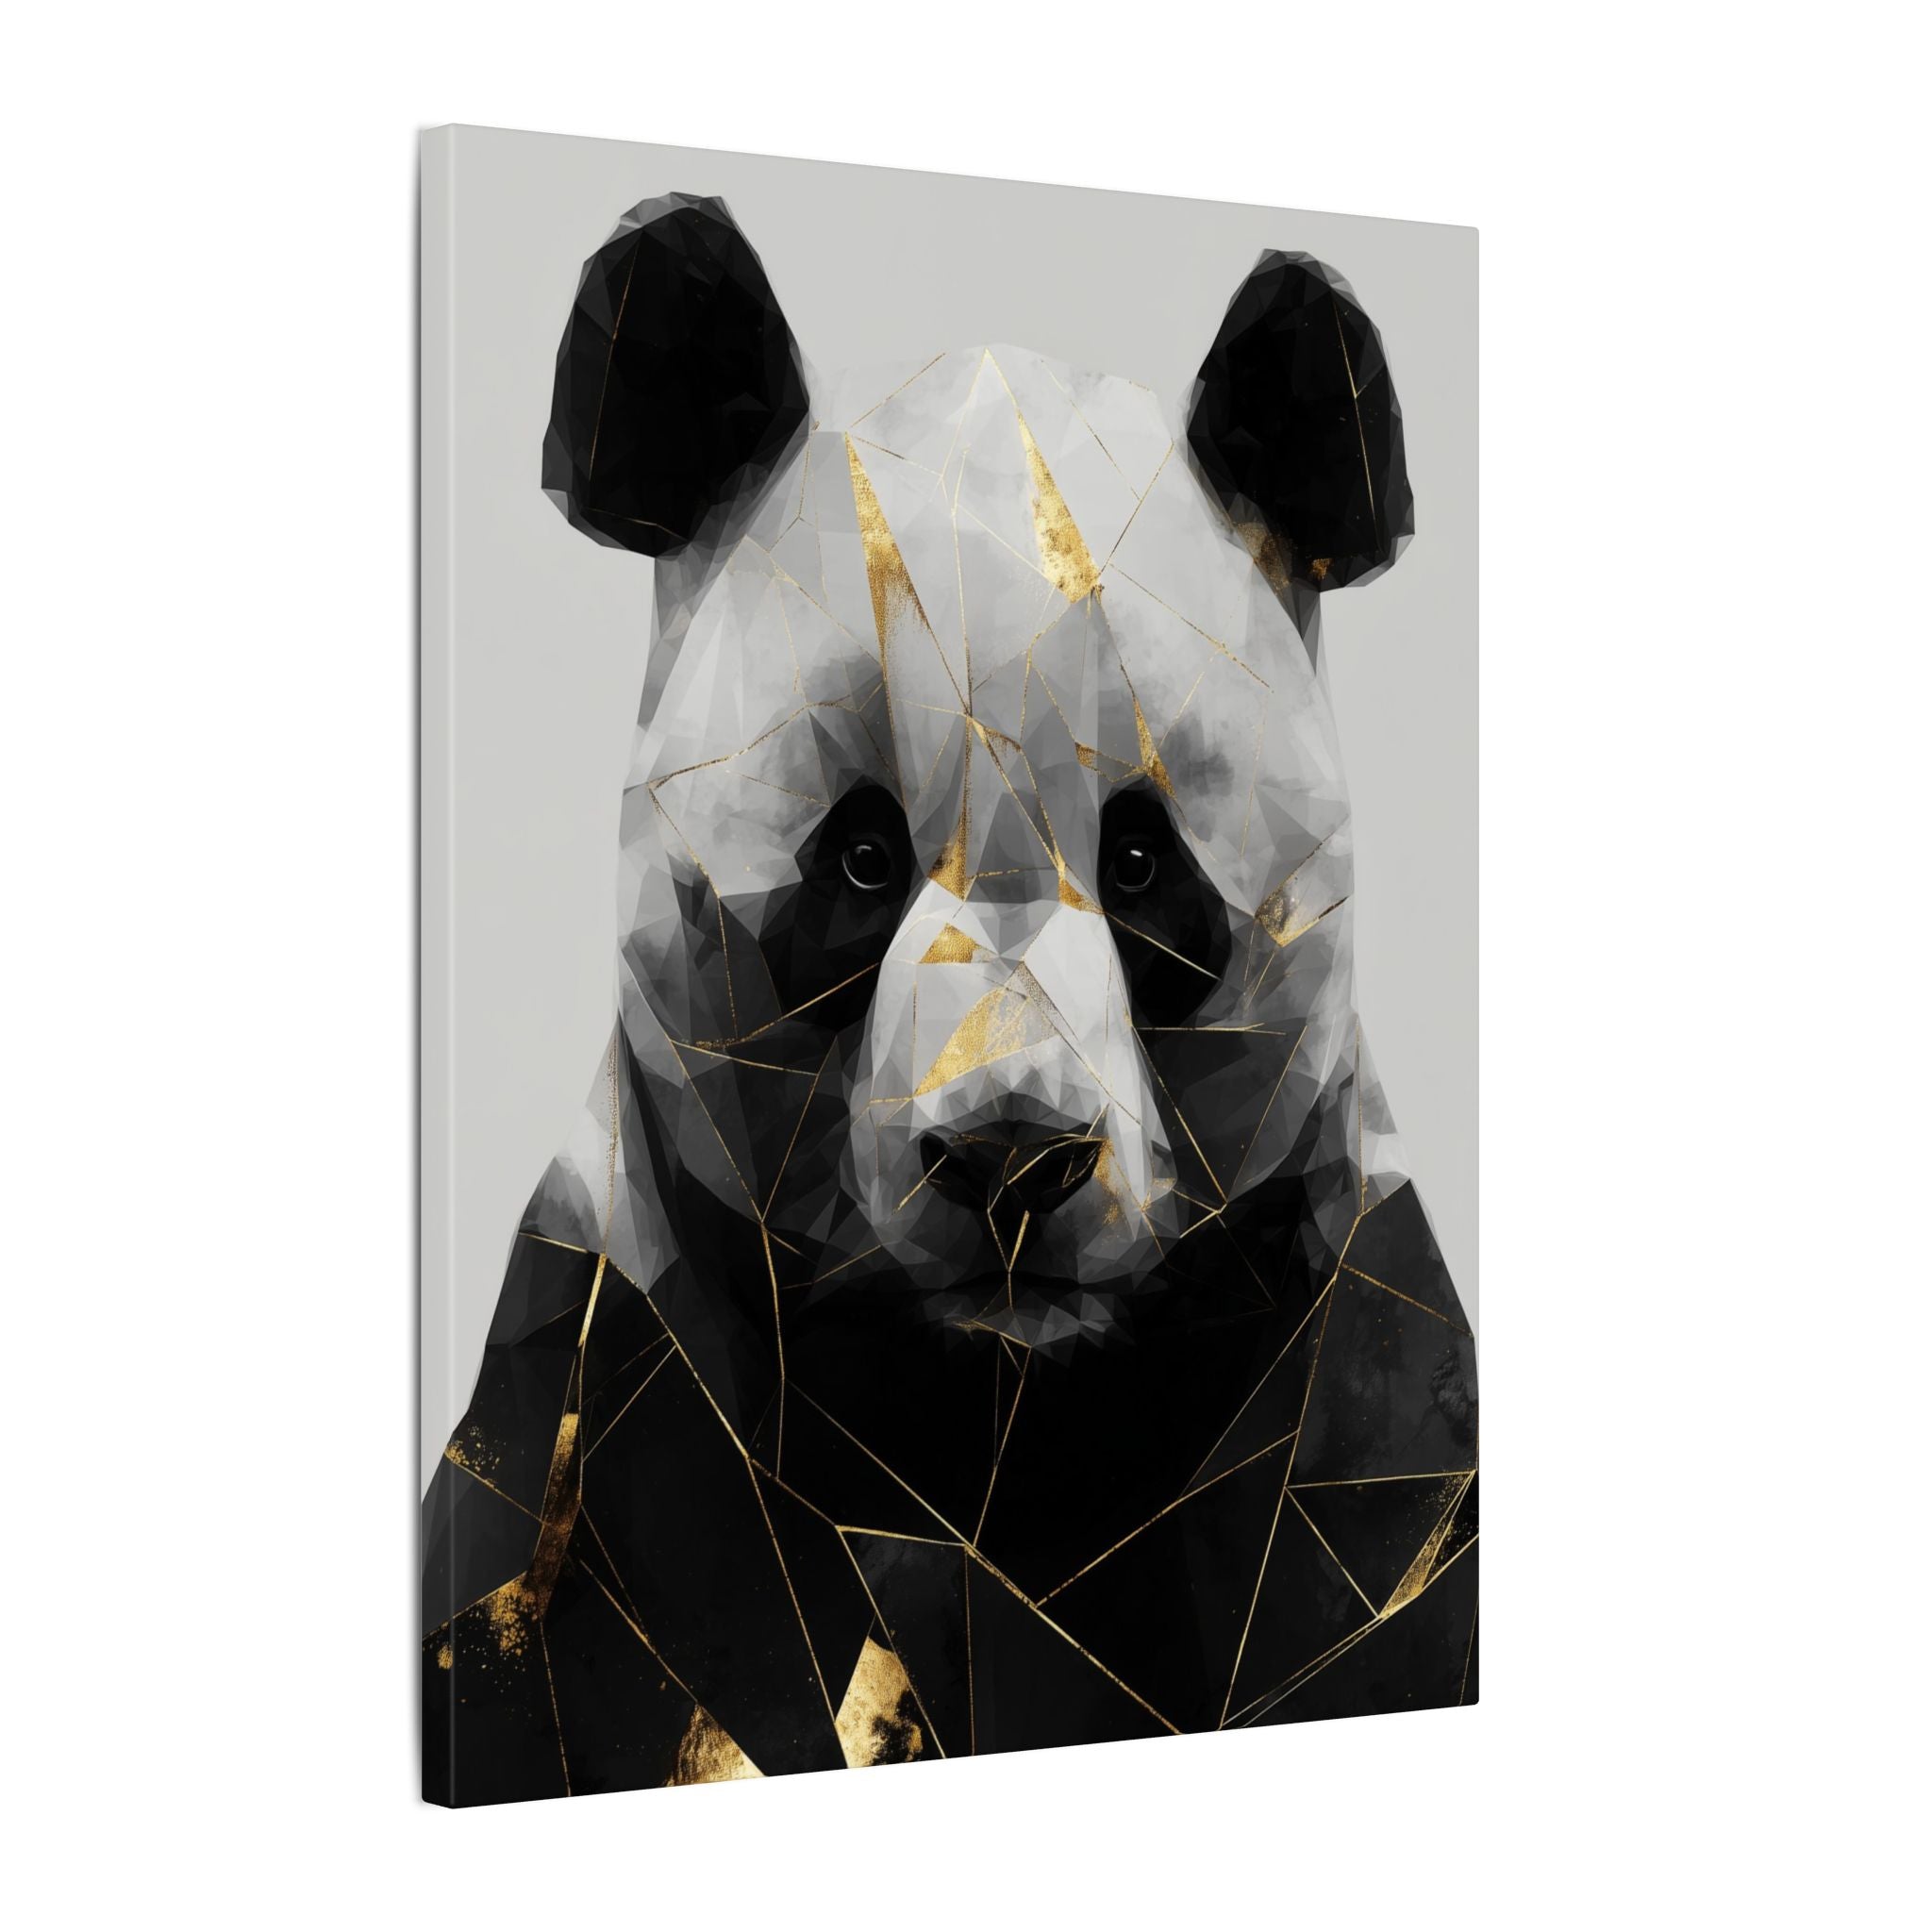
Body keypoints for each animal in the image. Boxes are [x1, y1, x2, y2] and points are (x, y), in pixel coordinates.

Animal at [422, 192, 1478, 1807]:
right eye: (859, 856)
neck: (993, 1431)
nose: (1011, 1160)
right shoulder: (602, 1411)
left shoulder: (1358, 1402)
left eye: (1143, 861)